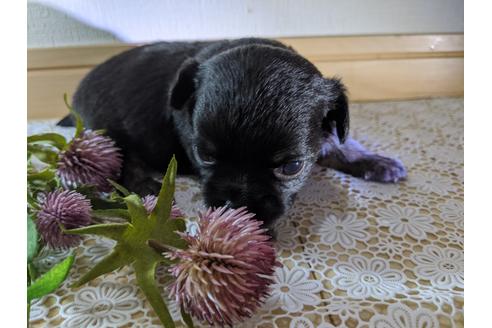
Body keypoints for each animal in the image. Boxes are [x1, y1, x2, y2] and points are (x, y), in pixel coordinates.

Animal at [63, 37, 406, 228]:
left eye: (292, 167)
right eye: (204, 155)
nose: (236, 204)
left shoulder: (327, 127)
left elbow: (339, 141)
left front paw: (375, 161)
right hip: (106, 129)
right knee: (120, 162)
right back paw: (145, 184)